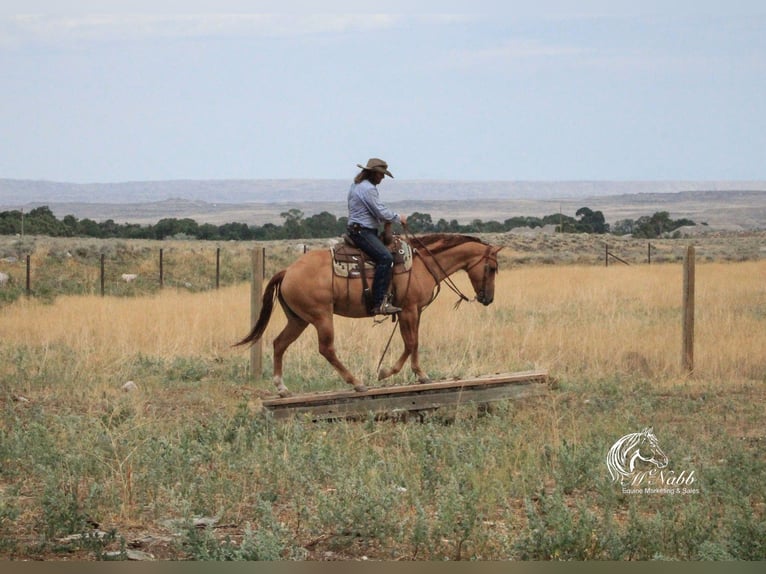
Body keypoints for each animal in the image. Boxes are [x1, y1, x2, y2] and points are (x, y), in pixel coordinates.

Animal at [237, 233, 508, 396]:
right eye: (492, 268)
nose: (488, 299)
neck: (422, 264)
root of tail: (287, 271)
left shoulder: (414, 311)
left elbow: (414, 342)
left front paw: (420, 374)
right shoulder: (408, 310)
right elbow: (411, 343)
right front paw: (387, 372)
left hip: (299, 319)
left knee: (279, 343)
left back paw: (282, 388)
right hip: (321, 317)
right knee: (326, 349)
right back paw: (357, 382)